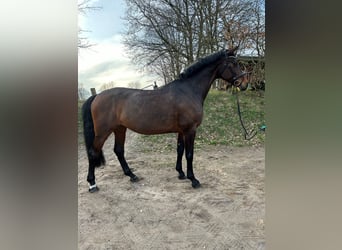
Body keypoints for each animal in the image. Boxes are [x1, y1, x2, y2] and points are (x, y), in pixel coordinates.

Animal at [83, 46, 248, 191]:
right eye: (233, 64)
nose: (244, 84)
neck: (188, 90)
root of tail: (96, 96)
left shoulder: (181, 131)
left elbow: (180, 150)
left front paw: (181, 173)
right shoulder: (190, 130)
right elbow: (189, 154)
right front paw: (193, 180)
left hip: (120, 129)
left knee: (119, 151)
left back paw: (132, 176)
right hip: (103, 132)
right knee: (93, 152)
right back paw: (92, 184)